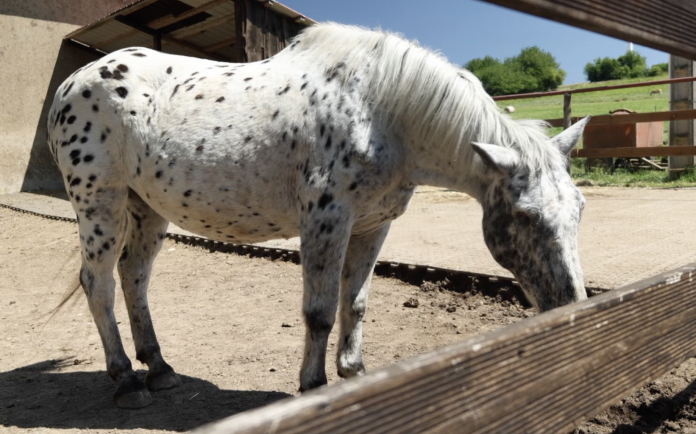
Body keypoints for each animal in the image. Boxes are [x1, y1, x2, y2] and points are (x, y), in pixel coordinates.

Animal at [47, 23, 589, 408]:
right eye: (525, 215)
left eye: (580, 210)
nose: (573, 308)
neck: (383, 114)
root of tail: (73, 81)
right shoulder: (326, 222)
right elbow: (320, 311)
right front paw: (314, 385)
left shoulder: (373, 225)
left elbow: (356, 303)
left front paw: (354, 373)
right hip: (100, 204)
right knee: (99, 284)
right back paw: (126, 380)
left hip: (146, 207)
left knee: (133, 277)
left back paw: (159, 370)